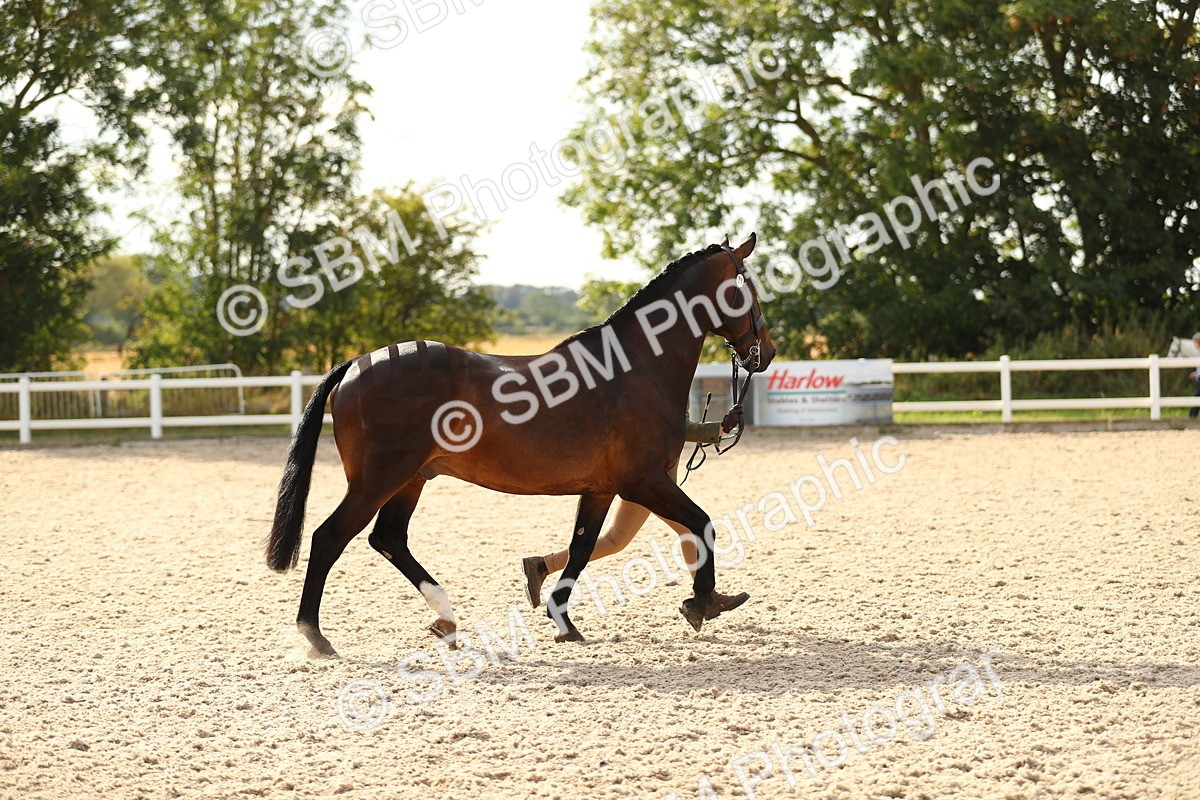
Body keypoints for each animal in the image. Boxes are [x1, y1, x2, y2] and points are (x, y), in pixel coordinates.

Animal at [264, 234, 776, 658]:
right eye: (749, 290)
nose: (765, 354)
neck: (634, 367)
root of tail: (356, 364)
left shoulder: (601, 488)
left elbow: (581, 548)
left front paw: (564, 622)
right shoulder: (644, 481)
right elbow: (701, 524)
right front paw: (703, 602)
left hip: (410, 480)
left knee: (388, 538)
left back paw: (446, 619)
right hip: (378, 480)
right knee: (330, 537)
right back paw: (316, 637)